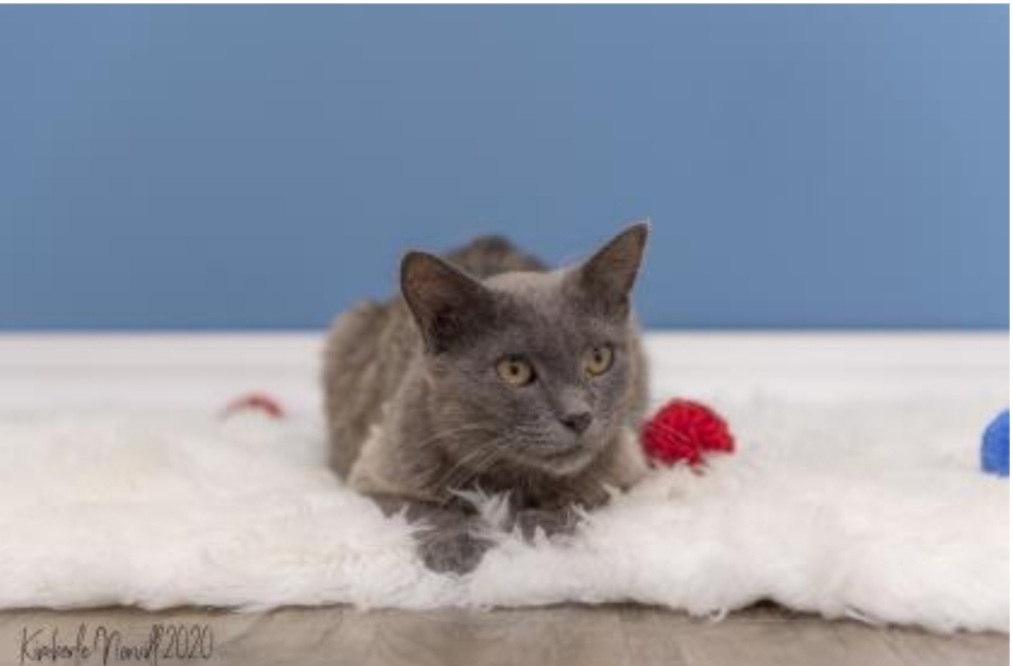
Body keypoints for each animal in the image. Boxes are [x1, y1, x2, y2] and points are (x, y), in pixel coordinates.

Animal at [323, 224, 651, 573]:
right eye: (514, 370)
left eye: (599, 359)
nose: (579, 417)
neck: (512, 478)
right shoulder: (376, 473)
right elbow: (422, 507)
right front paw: (456, 546)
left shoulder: (624, 470)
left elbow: (583, 498)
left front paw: (536, 532)